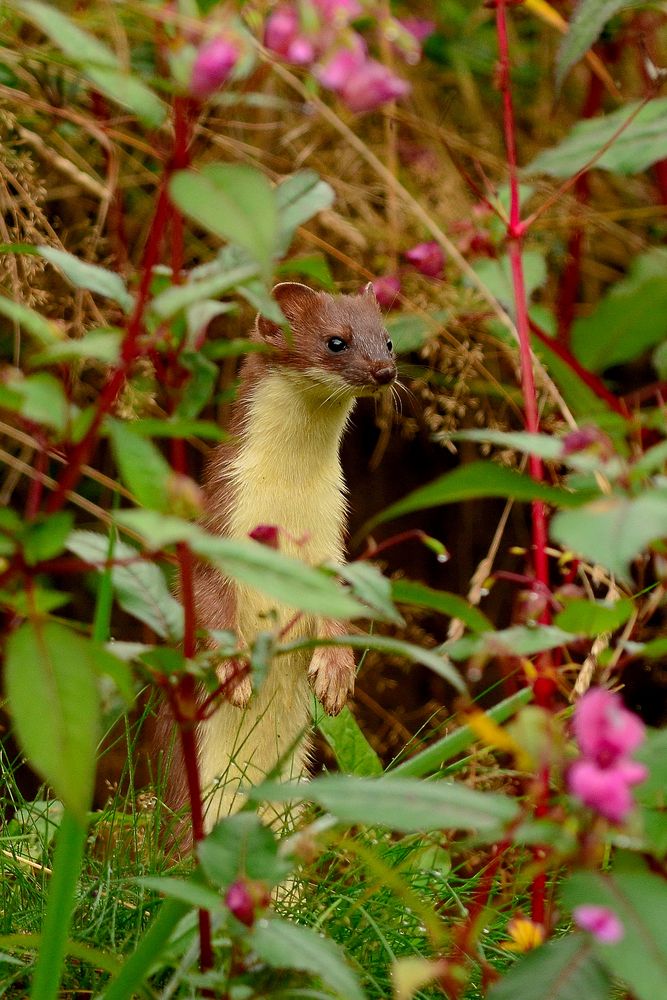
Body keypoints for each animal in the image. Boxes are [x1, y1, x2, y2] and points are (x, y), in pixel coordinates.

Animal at [159, 280, 394, 828]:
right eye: (336, 340)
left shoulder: (332, 535)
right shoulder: (221, 517)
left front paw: (335, 673)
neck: (291, 498)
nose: (384, 371)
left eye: (389, 340)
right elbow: (204, 592)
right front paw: (232, 672)